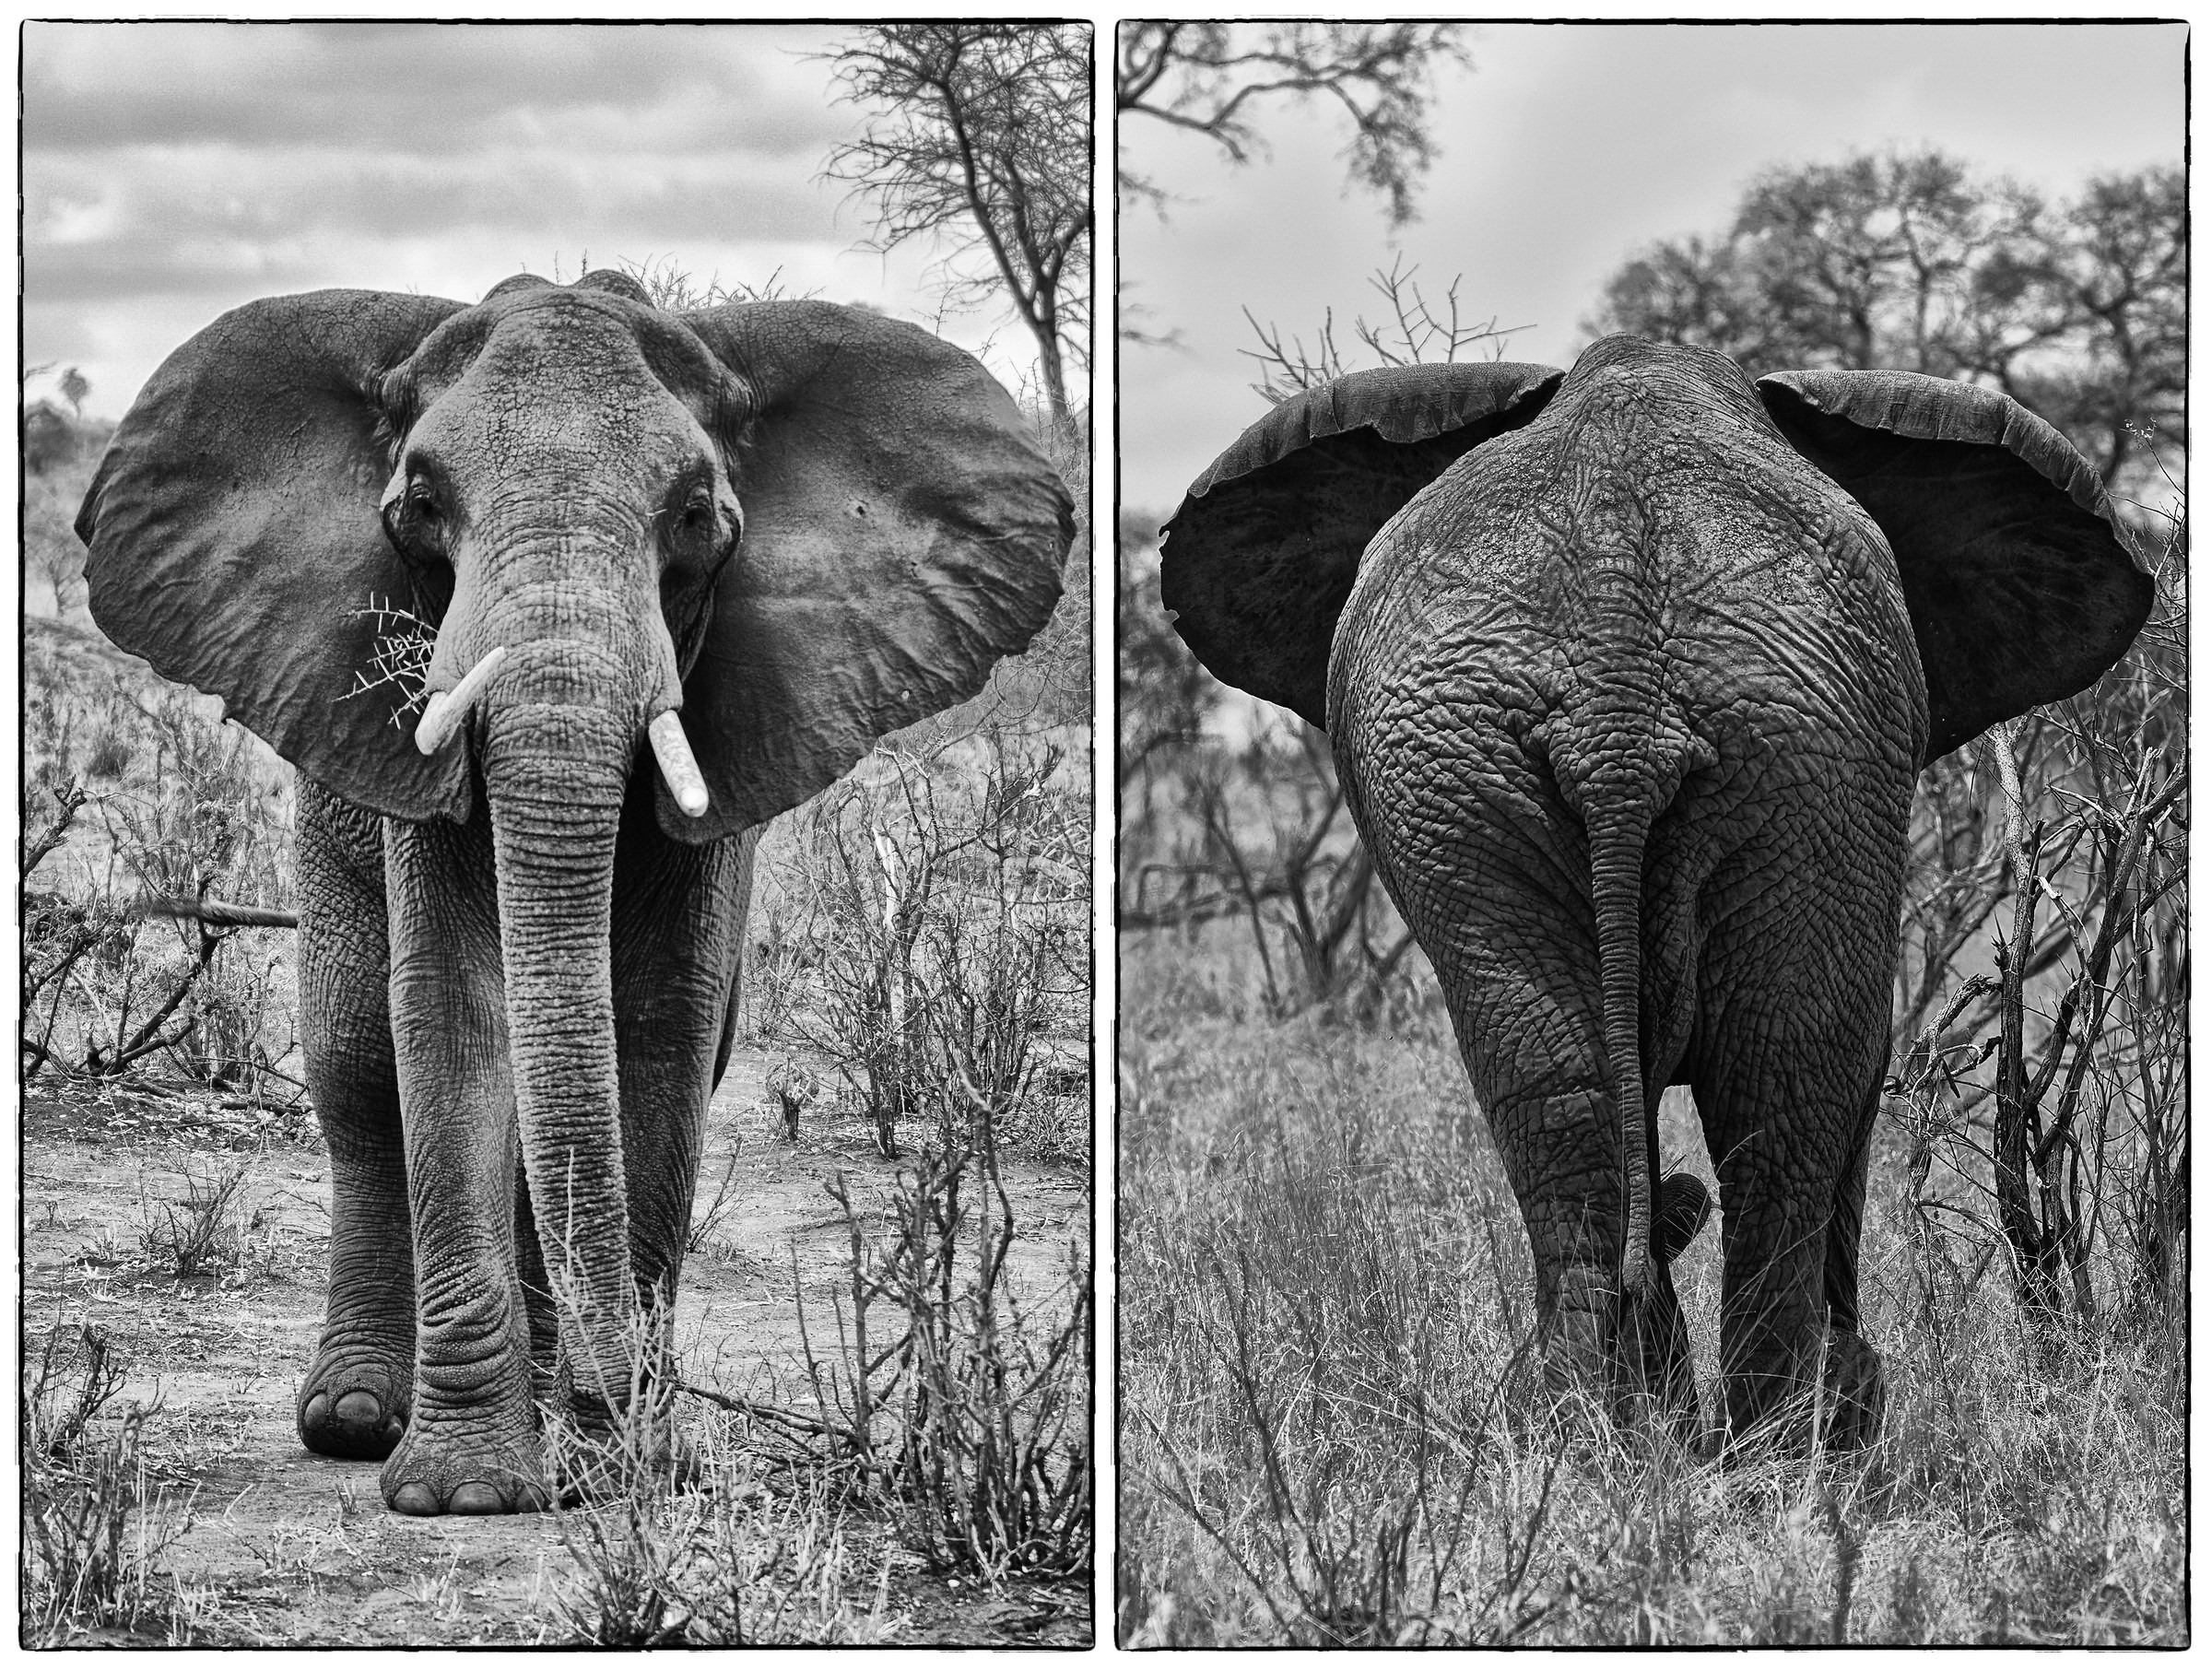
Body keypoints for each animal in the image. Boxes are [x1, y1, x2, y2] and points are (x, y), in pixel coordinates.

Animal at [78, 270, 1071, 1514]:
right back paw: (361, 1418)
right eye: (421, 507)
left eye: (694, 515)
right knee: (356, 1064)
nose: (627, 1422)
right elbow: (449, 1014)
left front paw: (613, 1465)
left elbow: (658, 1023)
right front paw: (461, 1492)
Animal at [1159, 336, 2150, 1448]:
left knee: (1572, 1081)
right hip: (1766, 756)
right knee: (1777, 1078)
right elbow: (1859, 1066)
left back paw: (1611, 1425)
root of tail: (1618, 699)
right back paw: (1782, 1440)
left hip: (1571, 760)